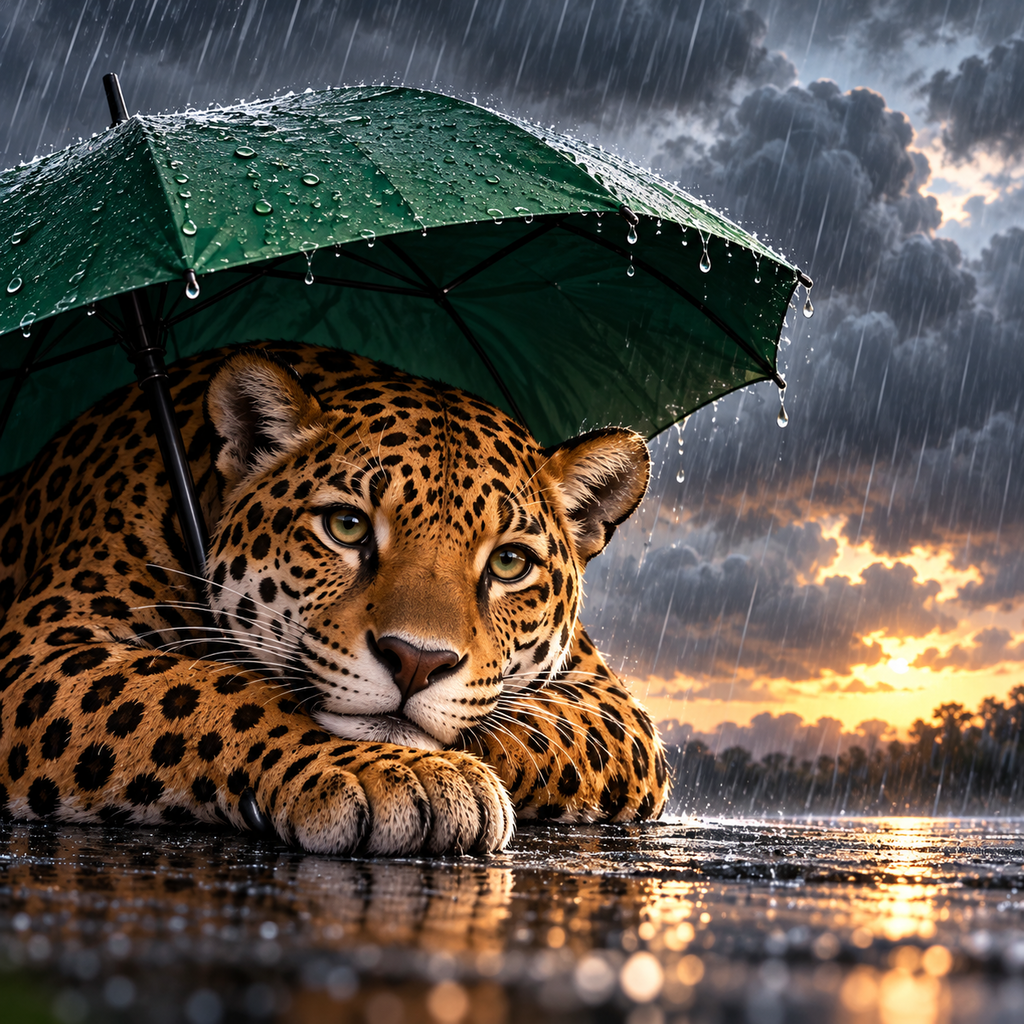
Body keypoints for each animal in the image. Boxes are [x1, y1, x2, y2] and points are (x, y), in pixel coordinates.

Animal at [0, 342, 668, 856]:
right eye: (347, 527)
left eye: (509, 563)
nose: (417, 661)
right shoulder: (39, 654)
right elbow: (215, 692)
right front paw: (402, 772)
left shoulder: (613, 703)